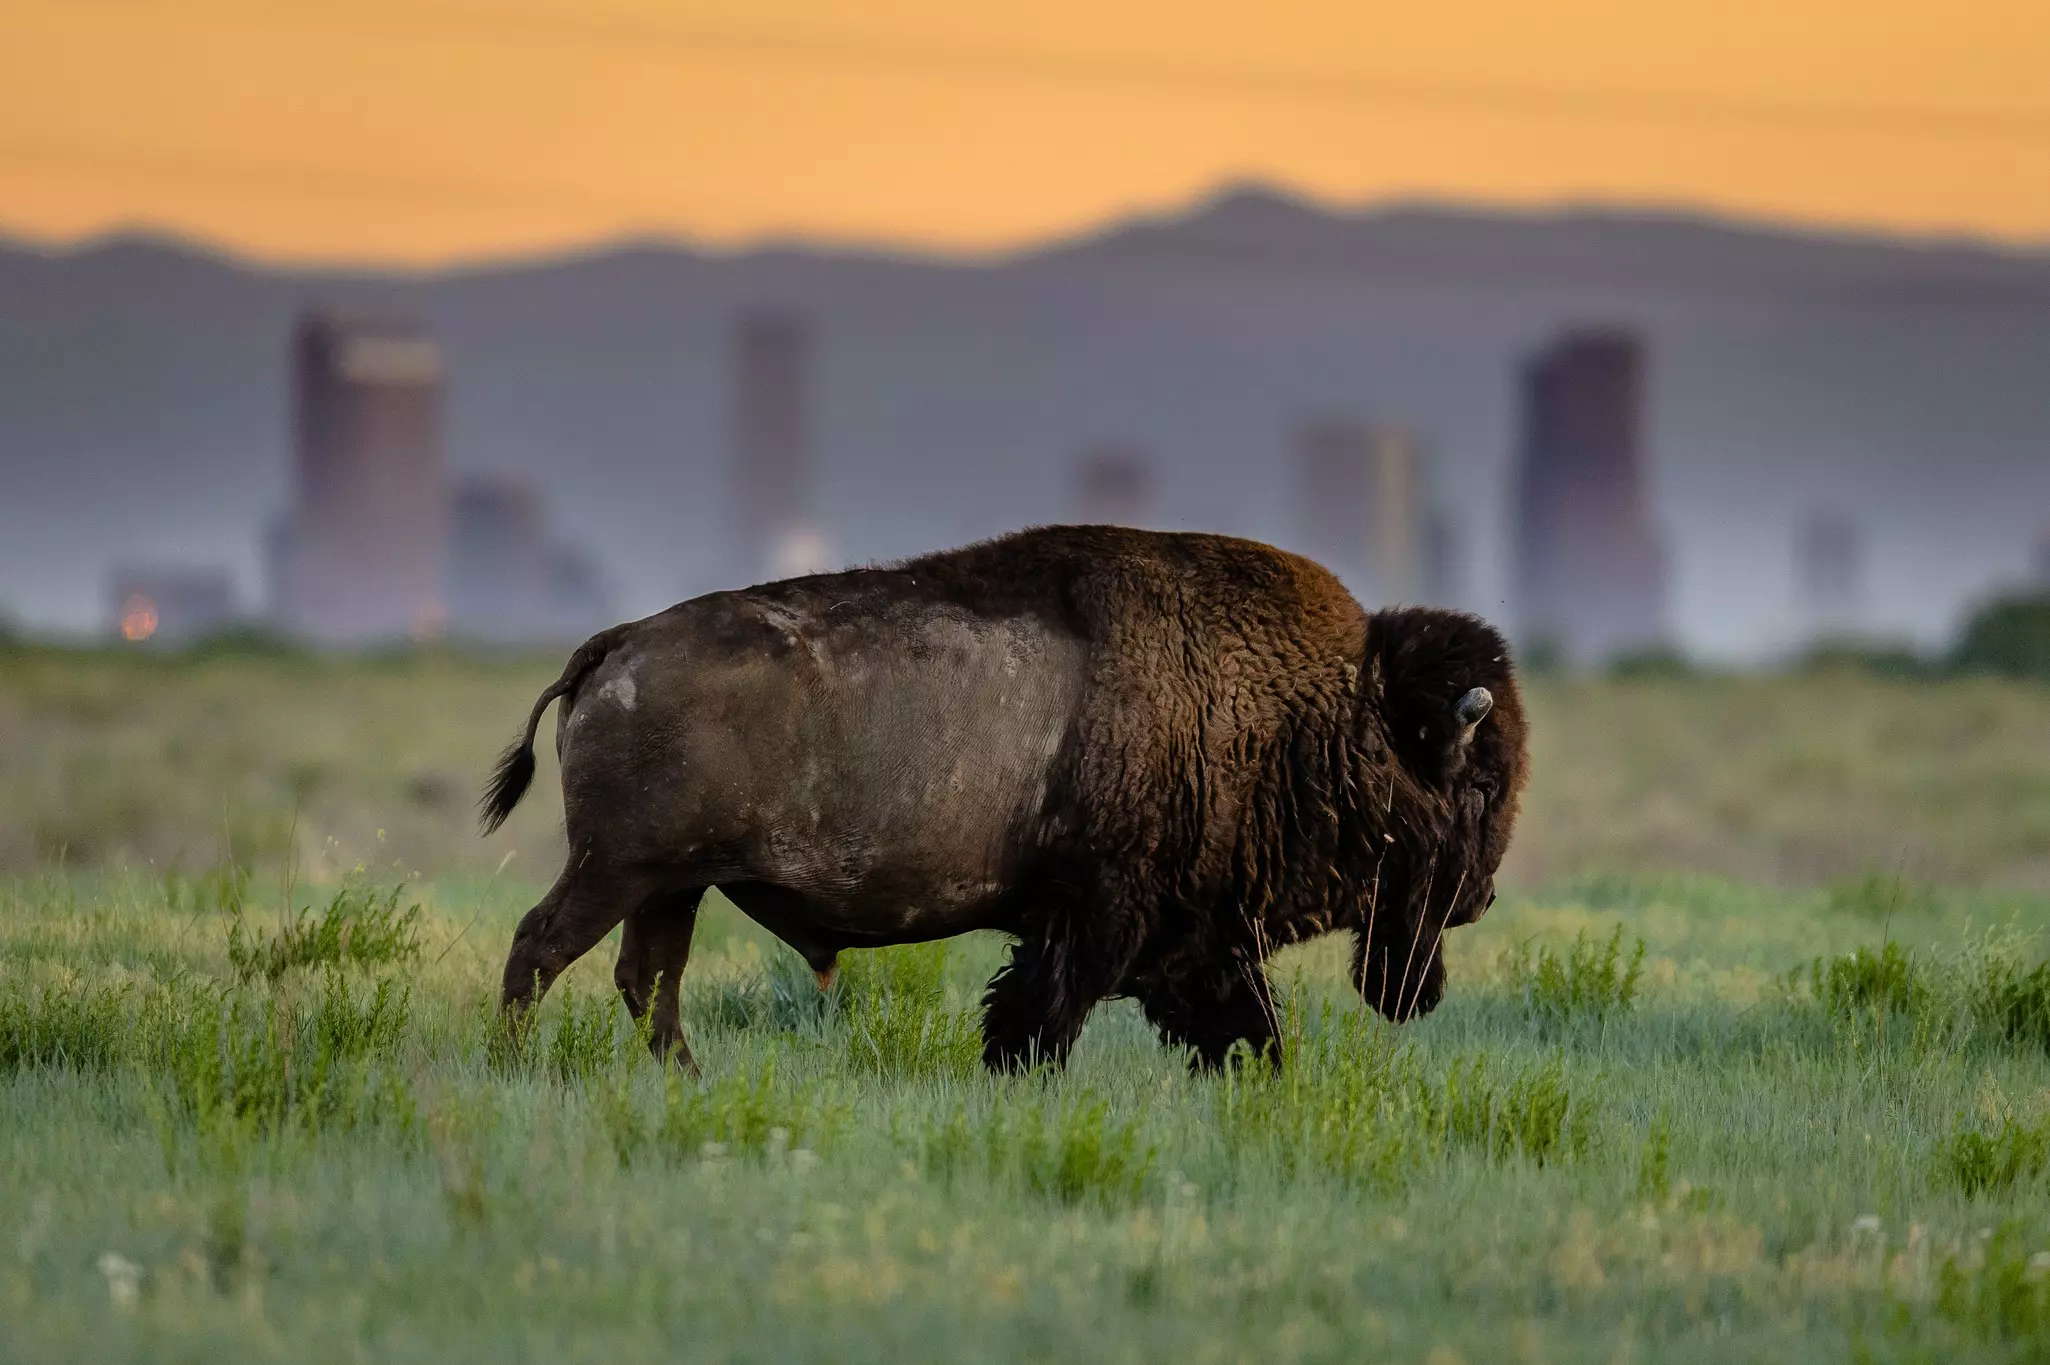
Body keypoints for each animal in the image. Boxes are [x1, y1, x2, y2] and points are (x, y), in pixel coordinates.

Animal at [482, 525, 1527, 1070]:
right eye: (1478, 781)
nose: (1478, 899)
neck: (1332, 710)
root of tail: (617, 643)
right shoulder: (1103, 921)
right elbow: (1040, 1015)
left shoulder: (1195, 941)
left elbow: (1247, 1027)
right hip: (619, 870)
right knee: (542, 947)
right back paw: (516, 1065)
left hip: (672, 885)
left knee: (646, 979)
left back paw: (686, 1078)